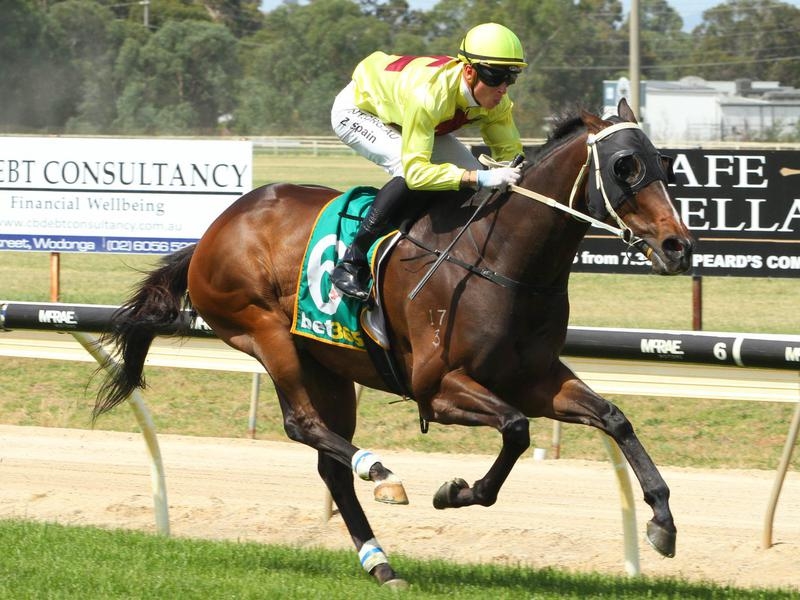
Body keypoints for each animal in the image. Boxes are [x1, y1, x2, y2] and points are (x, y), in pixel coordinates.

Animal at [94, 99, 693, 587]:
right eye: (625, 166)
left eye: (664, 164)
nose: (677, 246)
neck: (502, 258)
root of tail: (212, 232)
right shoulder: (438, 388)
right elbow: (517, 430)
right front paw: (455, 492)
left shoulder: (535, 378)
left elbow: (614, 418)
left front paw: (662, 520)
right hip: (264, 332)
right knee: (303, 426)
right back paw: (381, 473)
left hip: (328, 367)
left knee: (330, 464)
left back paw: (381, 562)